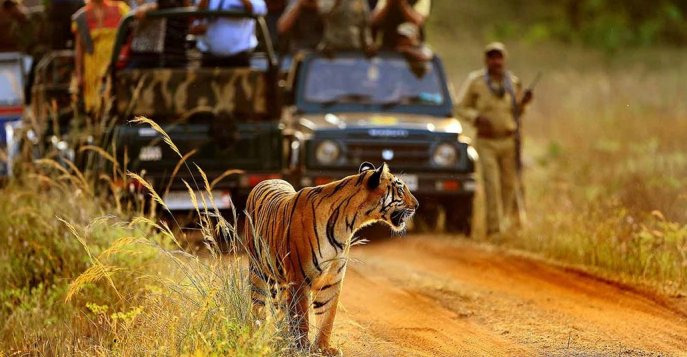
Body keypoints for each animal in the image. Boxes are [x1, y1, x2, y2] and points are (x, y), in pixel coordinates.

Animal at [246, 161, 420, 354]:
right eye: (400, 189)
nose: (417, 204)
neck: (348, 224)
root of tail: (267, 180)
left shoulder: (331, 279)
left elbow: (327, 316)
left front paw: (323, 348)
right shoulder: (299, 278)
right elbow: (302, 316)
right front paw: (303, 347)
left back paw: (282, 335)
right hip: (257, 270)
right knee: (258, 304)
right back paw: (257, 334)